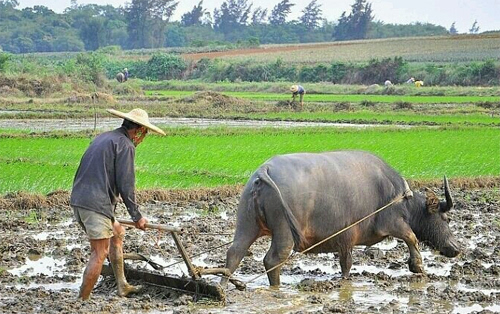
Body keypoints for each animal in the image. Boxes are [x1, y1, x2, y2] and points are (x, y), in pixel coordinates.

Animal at [223, 151, 460, 286]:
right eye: (446, 219)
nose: (456, 248)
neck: (400, 197)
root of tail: (264, 171)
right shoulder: (391, 221)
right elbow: (411, 236)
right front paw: (417, 266)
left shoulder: (345, 238)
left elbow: (346, 263)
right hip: (284, 230)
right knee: (273, 259)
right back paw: (275, 287)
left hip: (247, 222)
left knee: (235, 252)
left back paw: (223, 286)